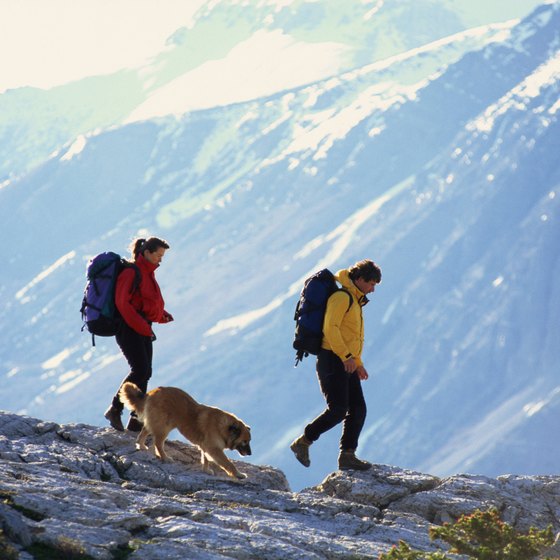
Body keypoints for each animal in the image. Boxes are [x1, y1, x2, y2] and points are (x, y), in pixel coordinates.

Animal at [119, 382, 253, 480]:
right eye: (245, 441)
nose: (250, 453)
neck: (223, 427)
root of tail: (152, 392)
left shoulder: (206, 446)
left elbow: (205, 459)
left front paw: (206, 470)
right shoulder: (214, 449)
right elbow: (228, 463)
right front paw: (238, 474)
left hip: (158, 423)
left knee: (143, 433)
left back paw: (141, 446)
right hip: (164, 426)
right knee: (157, 443)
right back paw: (165, 457)